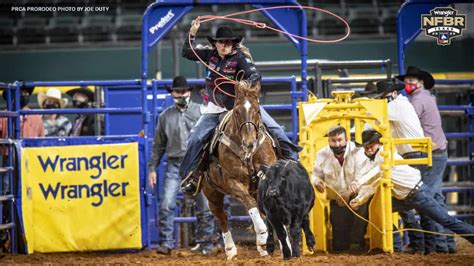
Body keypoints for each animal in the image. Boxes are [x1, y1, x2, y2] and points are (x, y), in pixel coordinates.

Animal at [201, 80, 278, 260]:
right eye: (237, 111)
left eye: (258, 110)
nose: (249, 143)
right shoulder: (234, 183)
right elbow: (250, 205)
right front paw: (262, 235)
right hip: (211, 193)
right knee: (221, 217)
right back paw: (231, 250)